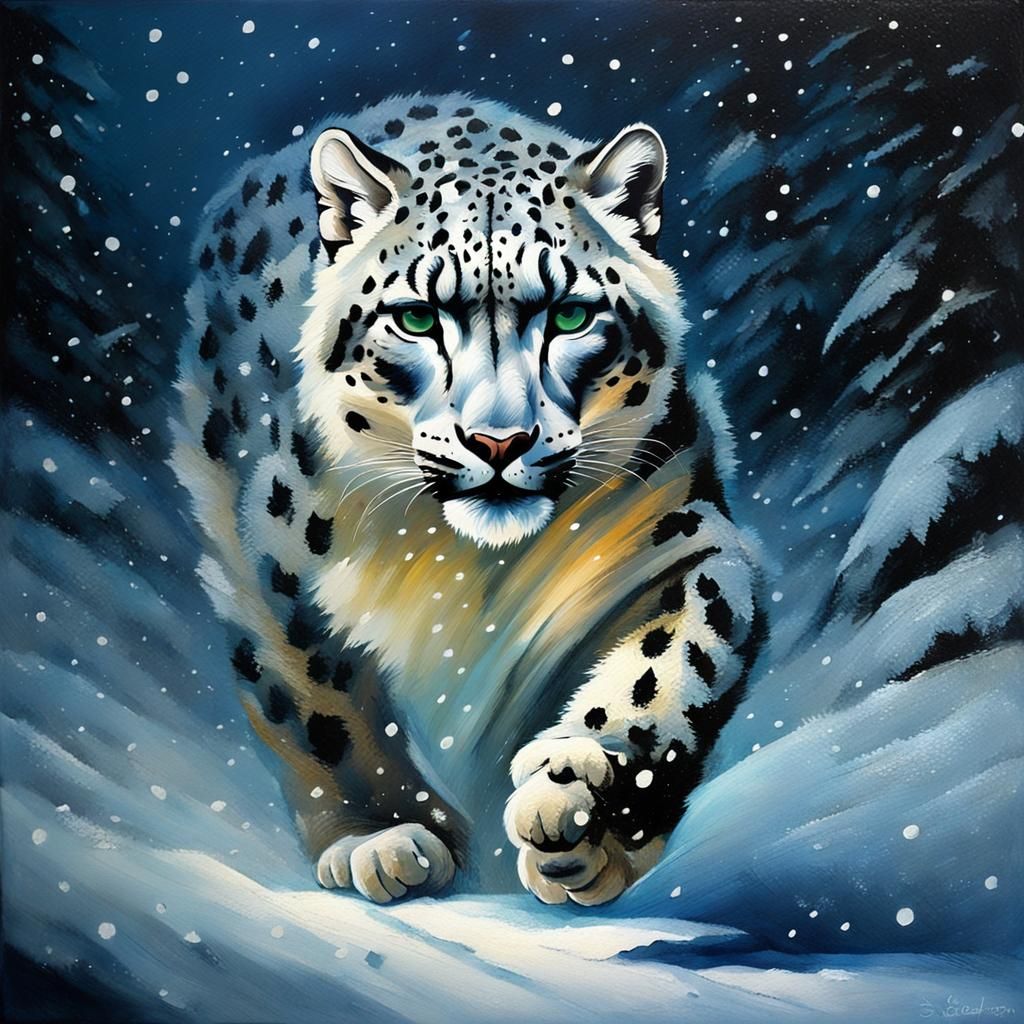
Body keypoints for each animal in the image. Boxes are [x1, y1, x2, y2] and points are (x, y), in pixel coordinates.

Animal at [171, 93, 763, 907]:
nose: (498, 441)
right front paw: (381, 835)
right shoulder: (278, 573)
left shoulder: (687, 532)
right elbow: (325, 709)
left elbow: (673, 662)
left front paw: (579, 797)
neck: (470, 565)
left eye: (571, 315)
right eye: (417, 317)